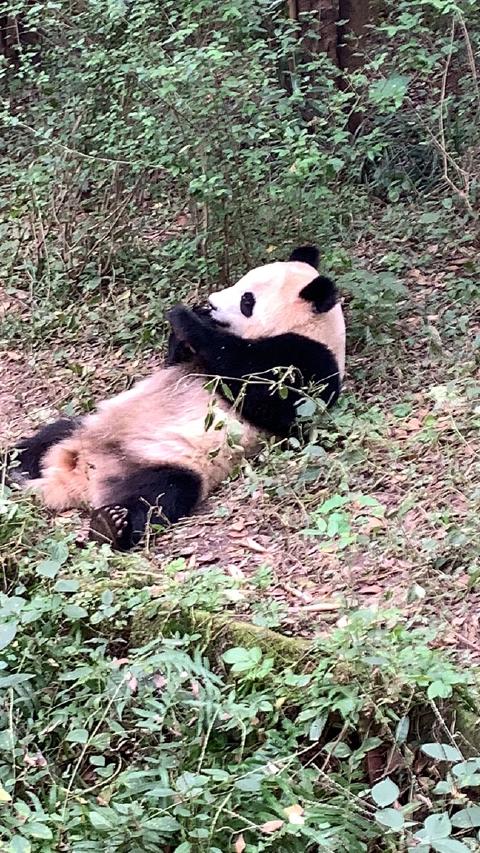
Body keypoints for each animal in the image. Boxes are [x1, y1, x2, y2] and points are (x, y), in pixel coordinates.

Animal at [9, 245, 345, 551]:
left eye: (246, 300)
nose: (210, 303)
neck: (310, 327)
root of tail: (75, 479)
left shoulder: (310, 363)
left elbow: (267, 395)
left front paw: (188, 318)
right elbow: (175, 361)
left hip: (166, 463)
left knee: (158, 495)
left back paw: (111, 526)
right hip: (85, 427)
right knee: (43, 439)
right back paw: (13, 470)